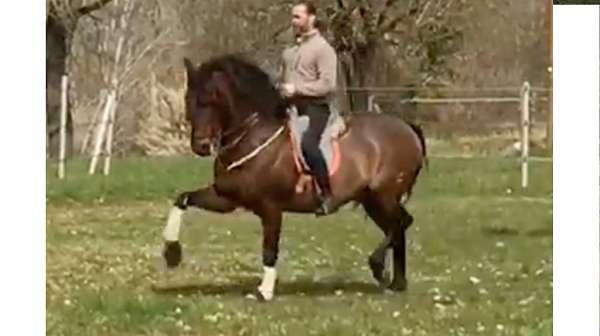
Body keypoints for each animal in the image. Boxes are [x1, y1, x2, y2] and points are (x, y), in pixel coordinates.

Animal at [161, 55, 426, 302]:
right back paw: (396, 283)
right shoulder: (226, 199)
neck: (254, 136)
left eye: (212, 99)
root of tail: (407, 127)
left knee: (401, 224)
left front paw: (265, 291)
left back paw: (379, 267)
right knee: (398, 226)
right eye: (189, 99)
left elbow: (270, 249)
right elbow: (182, 199)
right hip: (372, 201)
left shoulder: (270, 208)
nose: (201, 146)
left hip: (384, 196)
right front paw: (171, 253)